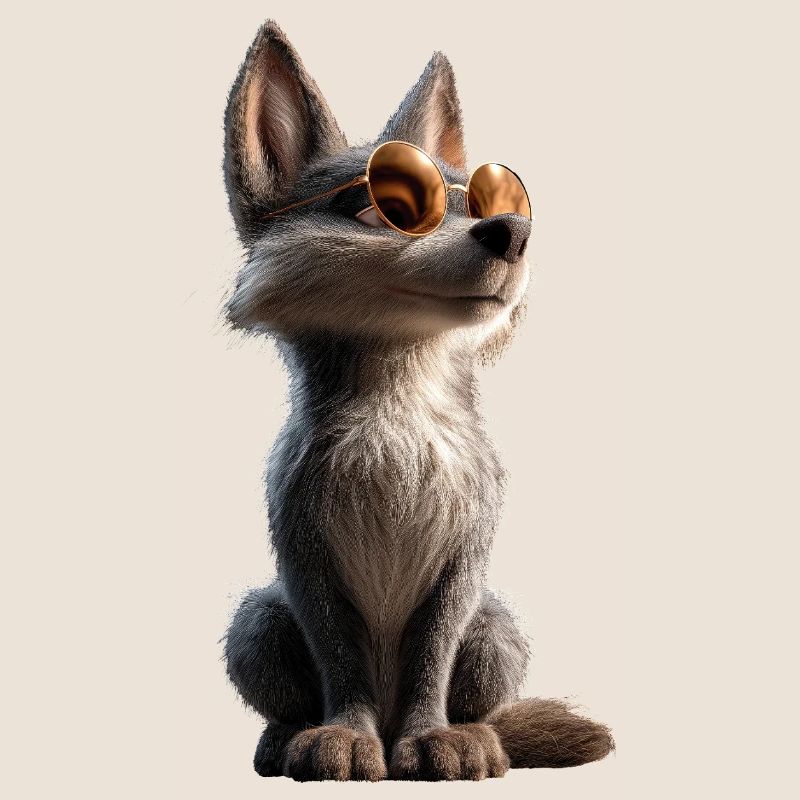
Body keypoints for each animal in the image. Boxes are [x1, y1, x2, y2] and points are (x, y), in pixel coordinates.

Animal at [222, 20, 613, 781]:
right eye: (385, 207)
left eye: (491, 202)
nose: (514, 233)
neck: (398, 420)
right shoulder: (303, 550)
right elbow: (338, 654)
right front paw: (343, 736)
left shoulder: (466, 552)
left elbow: (435, 647)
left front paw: (434, 739)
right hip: (255, 621)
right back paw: (287, 736)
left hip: (498, 630)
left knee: (481, 695)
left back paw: (475, 734)